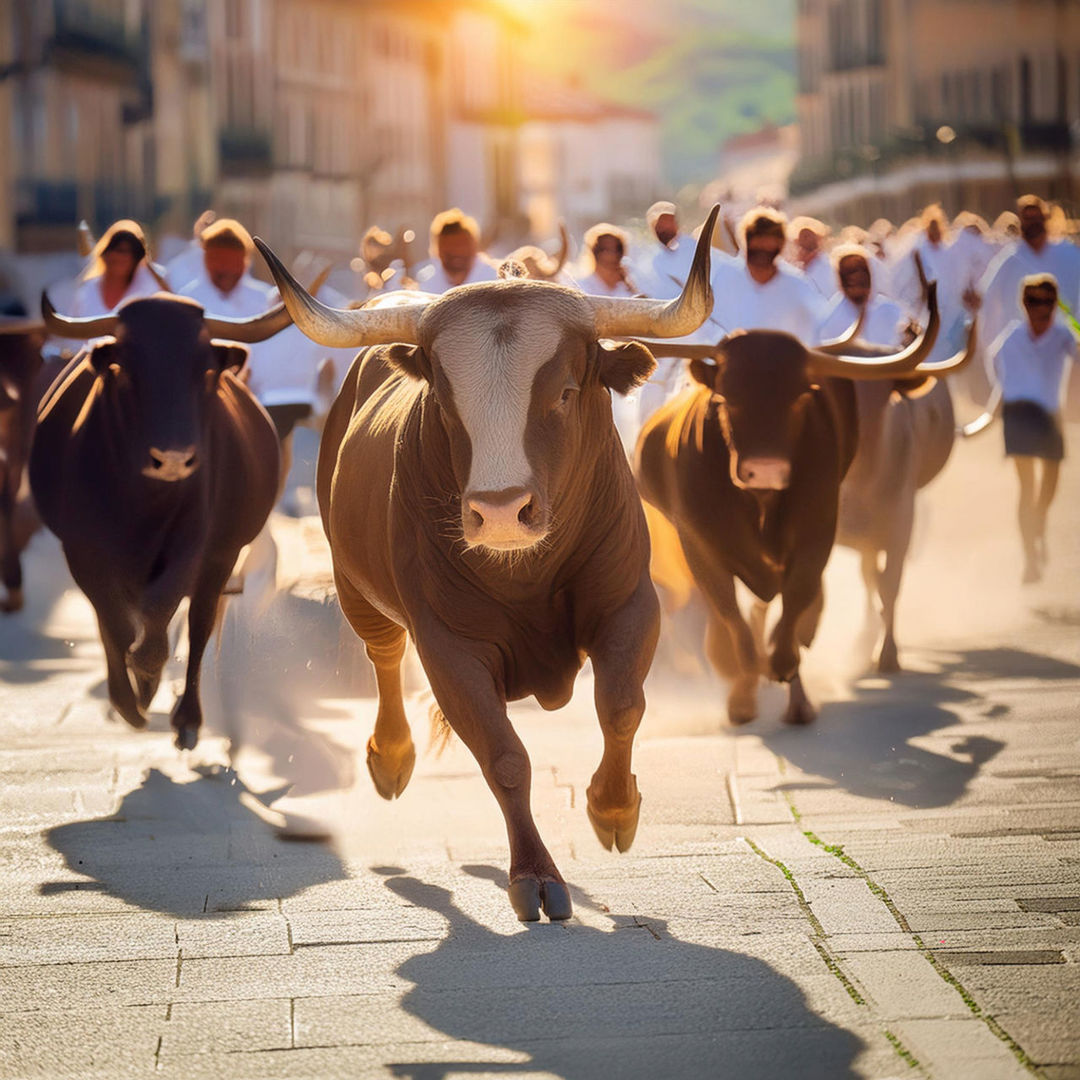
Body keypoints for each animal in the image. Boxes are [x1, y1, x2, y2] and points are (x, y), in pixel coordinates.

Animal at [30, 293, 290, 749]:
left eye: (205, 371)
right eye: (127, 370)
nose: (172, 459)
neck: (145, 503)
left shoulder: (196, 547)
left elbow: (161, 613)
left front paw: (148, 678)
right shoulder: (82, 553)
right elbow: (114, 626)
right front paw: (130, 700)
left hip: (222, 557)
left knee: (199, 623)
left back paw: (187, 717)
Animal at [255, 206, 720, 922]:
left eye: (564, 393)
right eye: (447, 403)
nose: (501, 513)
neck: (525, 573)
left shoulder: (630, 604)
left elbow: (620, 705)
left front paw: (614, 808)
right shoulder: (450, 644)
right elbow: (504, 756)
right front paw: (535, 874)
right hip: (355, 587)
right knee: (383, 655)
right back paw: (390, 759)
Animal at [633, 286, 971, 727]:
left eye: (798, 399)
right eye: (726, 399)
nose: (764, 470)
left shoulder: (823, 535)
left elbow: (798, 608)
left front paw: (784, 669)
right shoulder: (699, 546)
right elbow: (731, 617)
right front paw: (742, 692)